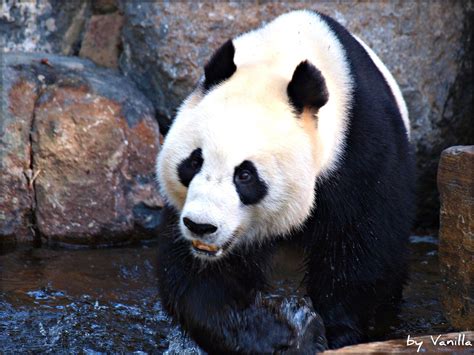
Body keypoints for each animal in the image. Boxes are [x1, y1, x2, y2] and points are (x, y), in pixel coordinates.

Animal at [156, 9, 414, 354]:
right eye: (194, 162)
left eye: (245, 175)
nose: (201, 226)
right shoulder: (184, 213)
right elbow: (195, 280)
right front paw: (282, 335)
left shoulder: (361, 152)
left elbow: (361, 251)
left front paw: (329, 333)